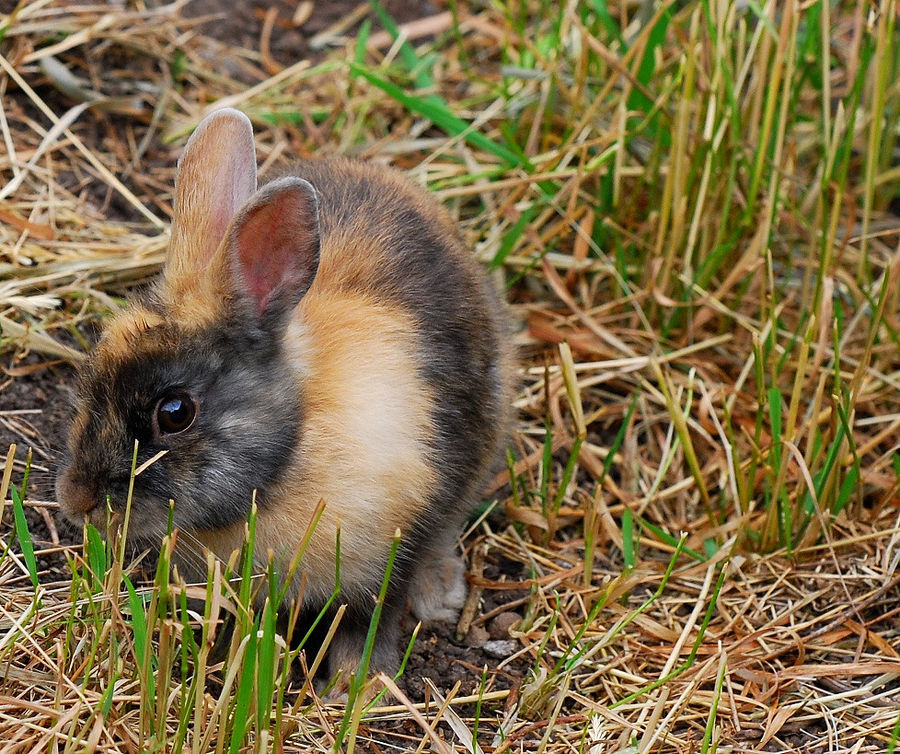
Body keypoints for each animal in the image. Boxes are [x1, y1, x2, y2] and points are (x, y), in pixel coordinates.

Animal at [58, 107, 512, 692]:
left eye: (174, 413)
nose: (76, 502)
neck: (286, 461)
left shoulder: (390, 548)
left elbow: (369, 623)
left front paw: (354, 688)